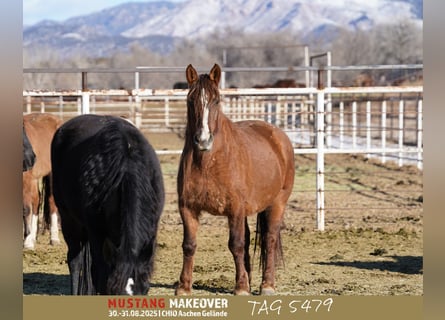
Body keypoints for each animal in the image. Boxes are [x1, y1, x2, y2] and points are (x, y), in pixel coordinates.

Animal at [22, 112, 62, 250]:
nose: (30, 158)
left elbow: (25, 209)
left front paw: (27, 243)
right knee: (37, 201)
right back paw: (33, 236)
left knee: (51, 201)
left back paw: (54, 238)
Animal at [50, 115, 165, 296]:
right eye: (115, 292)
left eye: (144, 290)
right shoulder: (96, 232)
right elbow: (98, 273)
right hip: (69, 220)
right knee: (75, 261)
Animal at [174, 63, 294, 296]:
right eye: (190, 100)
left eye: (216, 100)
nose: (203, 140)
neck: (208, 163)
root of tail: (278, 135)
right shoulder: (187, 208)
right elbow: (189, 245)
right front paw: (184, 287)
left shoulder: (235, 209)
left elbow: (236, 244)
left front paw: (241, 288)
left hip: (277, 203)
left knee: (269, 238)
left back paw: (267, 285)